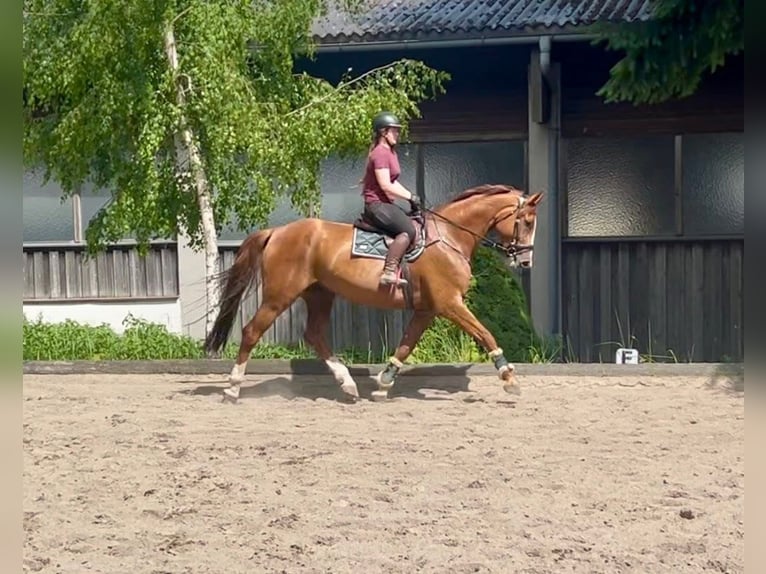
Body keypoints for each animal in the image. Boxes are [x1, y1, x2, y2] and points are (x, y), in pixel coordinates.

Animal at [204, 183, 543, 403]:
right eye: (526, 221)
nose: (526, 261)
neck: (449, 237)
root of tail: (276, 232)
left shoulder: (427, 309)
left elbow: (406, 344)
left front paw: (384, 382)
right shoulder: (450, 304)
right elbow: (485, 334)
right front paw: (509, 378)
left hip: (320, 294)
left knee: (314, 335)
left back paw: (348, 385)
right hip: (279, 296)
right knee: (251, 331)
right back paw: (233, 387)